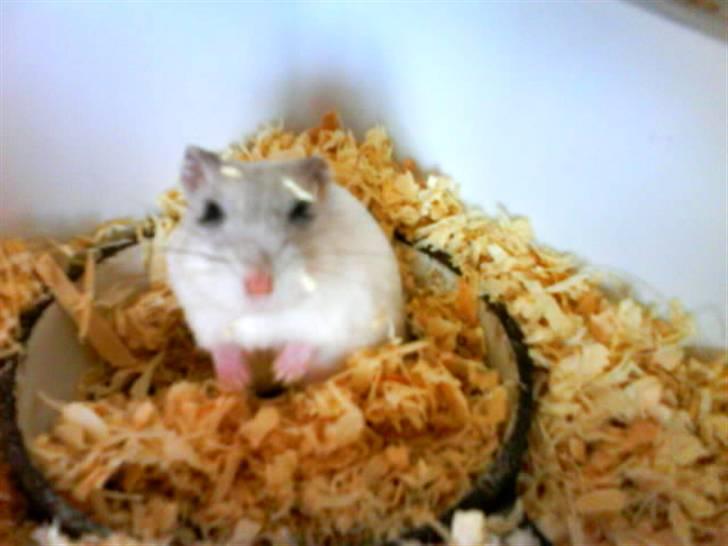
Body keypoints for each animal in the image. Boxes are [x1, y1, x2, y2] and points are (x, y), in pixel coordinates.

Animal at [165, 146, 405, 393]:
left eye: (302, 209)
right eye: (210, 212)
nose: (259, 286)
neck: (263, 314)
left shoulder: (335, 313)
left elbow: (308, 339)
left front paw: (283, 373)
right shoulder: (203, 315)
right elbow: (221, 345)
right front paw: (235, 382)